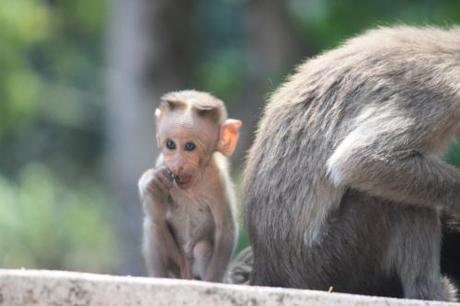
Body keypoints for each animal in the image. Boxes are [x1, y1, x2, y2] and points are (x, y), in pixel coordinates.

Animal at [138, 90, 243, 282]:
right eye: (170, 144)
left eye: (189, 146)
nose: (177, 165)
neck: (191, 186)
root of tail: (186, 273)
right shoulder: (162, 162)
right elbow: (156, 215)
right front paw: (150, 182)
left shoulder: (218, 180)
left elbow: (226, 228)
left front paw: (213, 282)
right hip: (177, 264)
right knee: (153, 225)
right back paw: (158, 277)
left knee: (202, 248)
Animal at [243, 24, 460, 302]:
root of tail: (269, 269)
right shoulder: (434, 97)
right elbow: (358, 160)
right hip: (330, 262)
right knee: (393, 199)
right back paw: (429, 293)